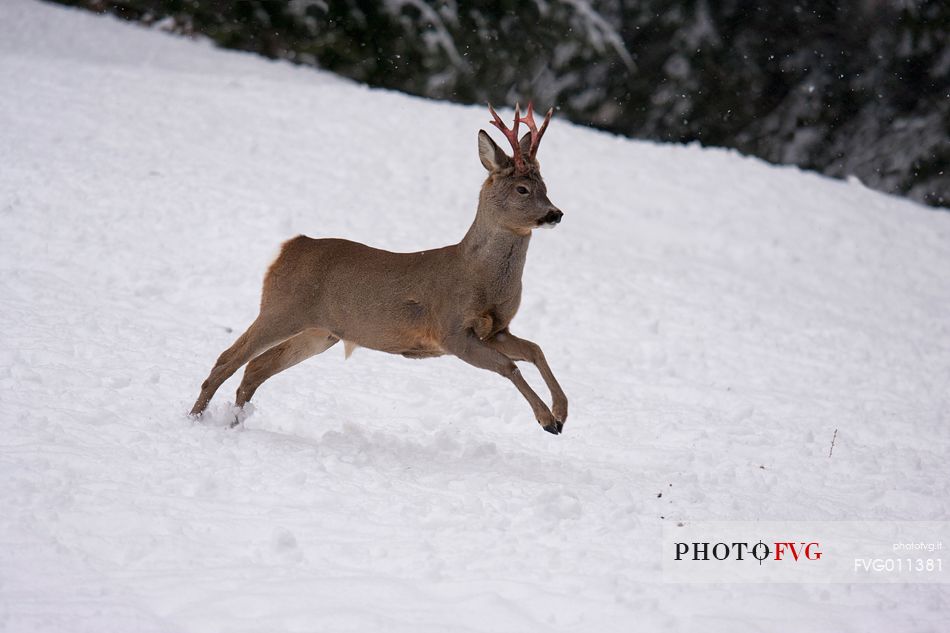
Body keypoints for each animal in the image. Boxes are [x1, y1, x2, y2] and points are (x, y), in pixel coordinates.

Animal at [190, 103, 568, 434]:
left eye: (546, 186)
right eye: (522, 188)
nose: (555, 213)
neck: (479, 276)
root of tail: (289, 247)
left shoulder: (497, 329)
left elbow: (535, 350)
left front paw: (562, 413)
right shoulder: (451, 329)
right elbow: (509, 365)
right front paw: (546, 420)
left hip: (320, 332)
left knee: (256, 368)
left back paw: (235, 422)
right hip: (282, 308)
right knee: (228, 358)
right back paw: (194, 419)